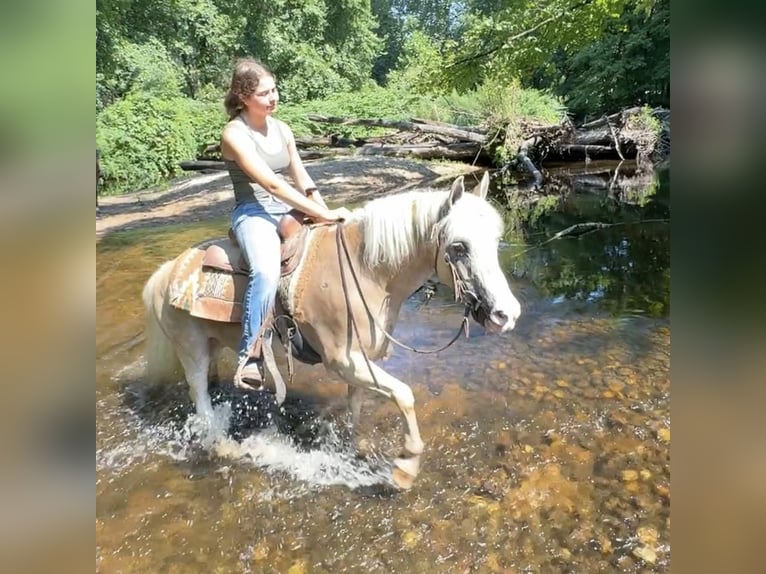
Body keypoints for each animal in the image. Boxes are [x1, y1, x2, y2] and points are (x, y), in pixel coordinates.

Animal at [142, 173, 520, 488]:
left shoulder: (362, 362)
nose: (507, 314)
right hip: (190, 349)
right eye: (459, 246)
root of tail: (167, 271)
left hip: (213, 345)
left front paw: (357, 446)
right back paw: (223, 446)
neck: (365, 272)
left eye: (495, 239)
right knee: (200, 400)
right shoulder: (341, 360)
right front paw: (406, 466)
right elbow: (404, 395)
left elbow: (357, 404)